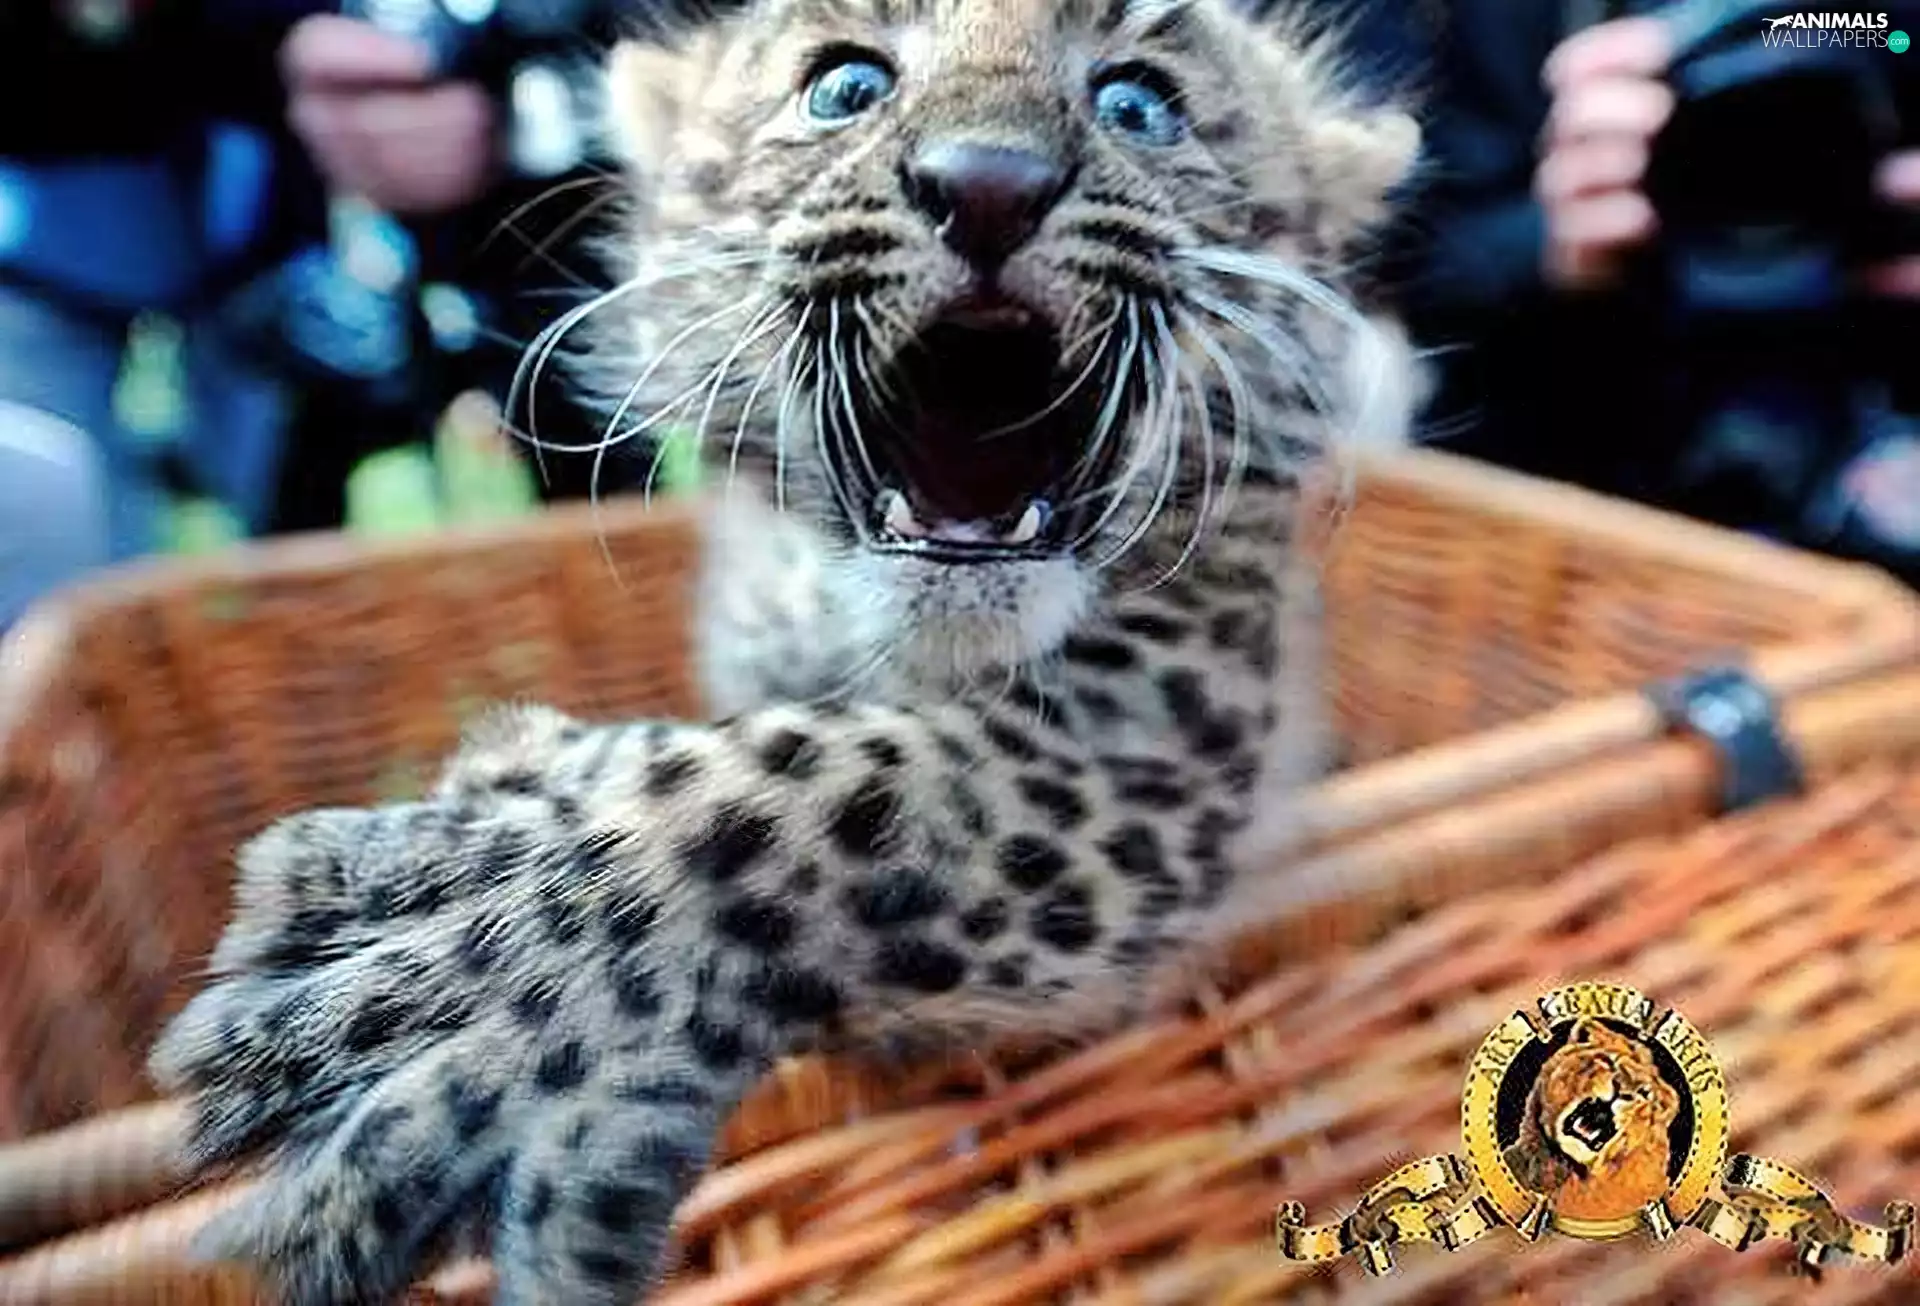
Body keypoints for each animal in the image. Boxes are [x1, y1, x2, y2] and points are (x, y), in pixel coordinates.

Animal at [147, 1, 1420, 1303]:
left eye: (1139, 104)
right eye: (846, 87)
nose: (989, 181)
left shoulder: (1157, 756)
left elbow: (815, 781)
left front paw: (459, 979)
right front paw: (500, 801)